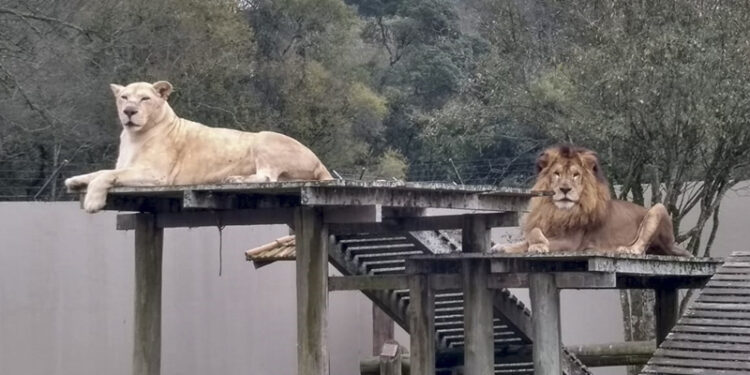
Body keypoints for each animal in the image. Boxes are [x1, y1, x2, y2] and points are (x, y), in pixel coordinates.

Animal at [494, 145, 692, 258]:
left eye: (575, 175)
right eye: (557, 174)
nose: (565, 189)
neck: (559, 211)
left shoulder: (571, 242)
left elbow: (530, 241)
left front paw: (538, 246)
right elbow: (531, 233)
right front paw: (502, 246)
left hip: (658, 208)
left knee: (641, 247)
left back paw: (626, 249)